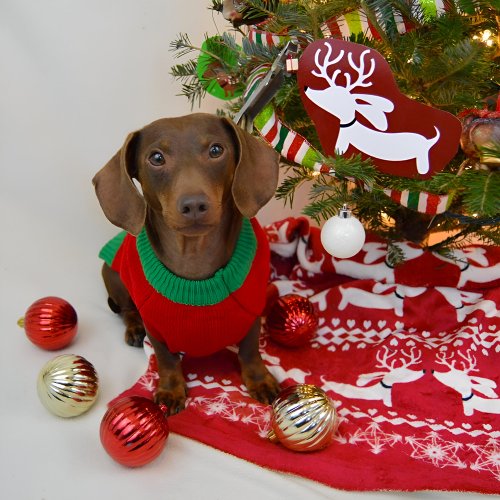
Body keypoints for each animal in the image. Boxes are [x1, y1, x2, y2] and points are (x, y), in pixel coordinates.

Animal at [94, 113, 282, 414]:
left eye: (216, 150)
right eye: (156, 157)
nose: (194, 205)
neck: (194, 259)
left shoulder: (252, 309)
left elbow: (250, 349)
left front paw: (259, 379)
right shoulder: (155, 327)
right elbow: (166, 358)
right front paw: (171, 389)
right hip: (113, 275)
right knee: (126, 310)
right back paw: (133, 328)